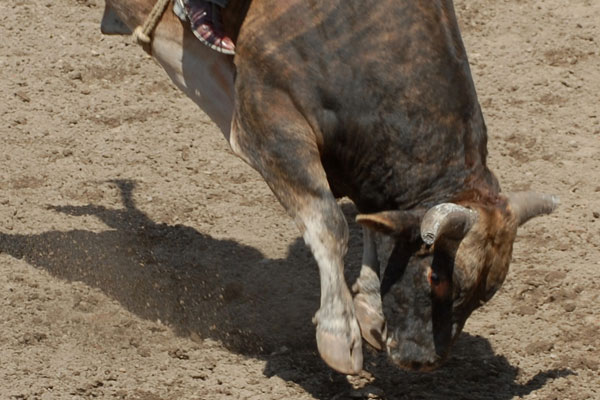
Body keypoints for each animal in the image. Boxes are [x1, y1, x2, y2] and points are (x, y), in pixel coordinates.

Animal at [102, 0, 556, 376]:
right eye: (436, 276)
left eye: (488, 293)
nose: (424, 361)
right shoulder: (270, 125)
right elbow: (329, 223)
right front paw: (339, 334)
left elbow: (371, 220)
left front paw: (370, 308)